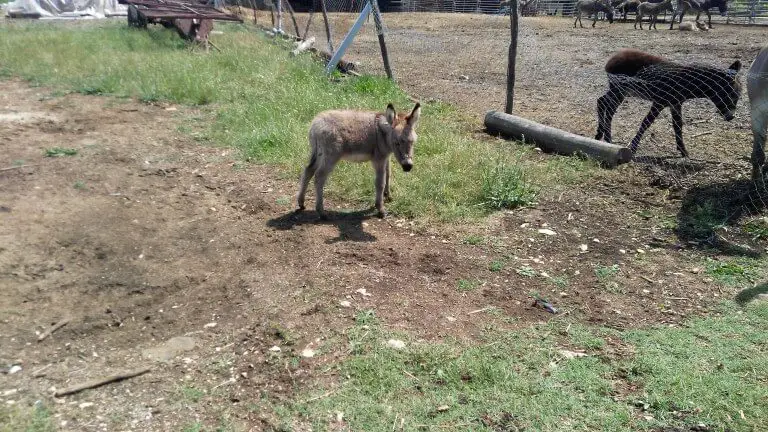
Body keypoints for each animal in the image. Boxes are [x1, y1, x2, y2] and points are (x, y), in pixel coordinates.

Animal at [296, 103, 424, 219]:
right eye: (396, 142)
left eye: (412, 142)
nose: (407, 166)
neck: (383, 134)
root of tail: (315, 124)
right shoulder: (379, 159)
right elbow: (380, 182)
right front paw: (380, 209)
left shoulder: (386, 157)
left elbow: (388, 175)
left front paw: (388, 196)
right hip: (331, 156)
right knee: (319, 177)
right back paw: (321, 212)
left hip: (318, 153)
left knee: (308, 170)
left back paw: (301, 202)